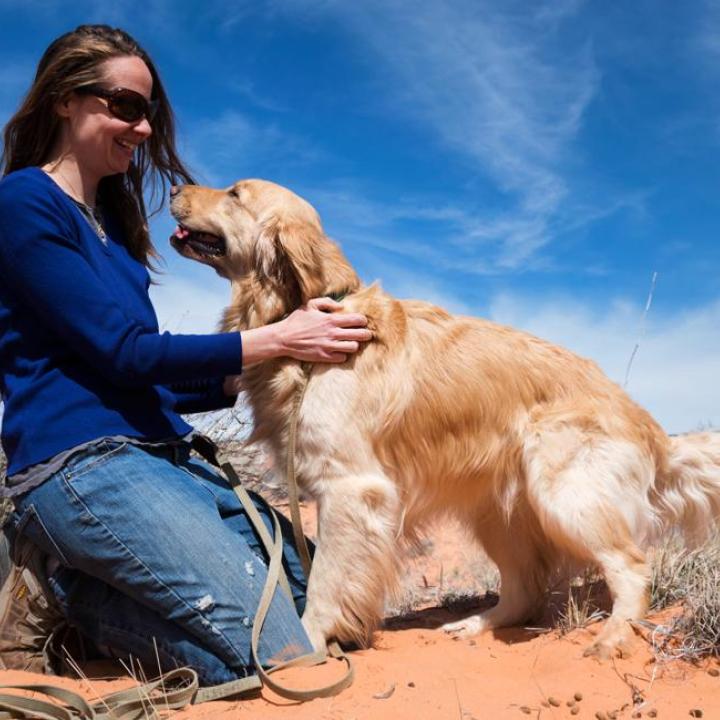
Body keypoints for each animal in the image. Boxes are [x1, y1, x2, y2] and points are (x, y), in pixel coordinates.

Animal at [172, 179, 720, 660]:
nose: (175, 189)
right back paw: (477, 623)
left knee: (631, 566)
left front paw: (308, 642)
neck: (309, 314)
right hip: (499, 511)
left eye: (235, 193)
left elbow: (326, 580)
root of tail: (650, 426)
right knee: (524, 590)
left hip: (566, 494)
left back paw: (614, 635)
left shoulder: (351, 488)